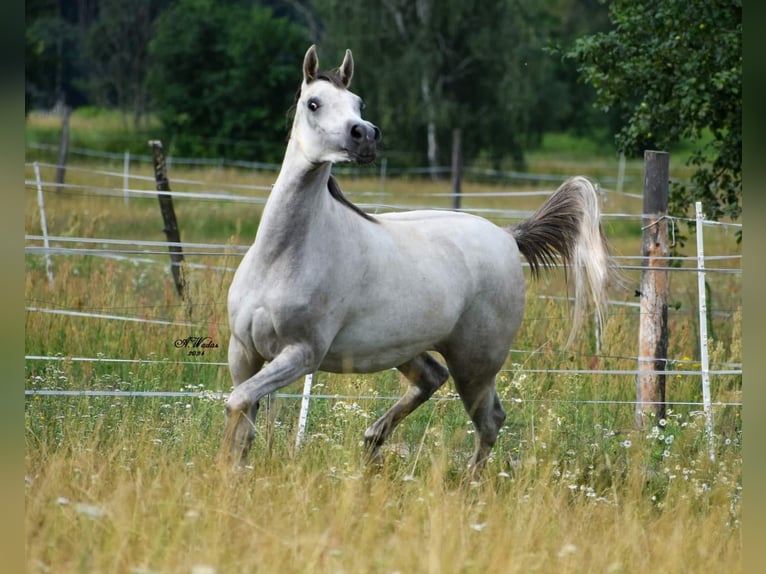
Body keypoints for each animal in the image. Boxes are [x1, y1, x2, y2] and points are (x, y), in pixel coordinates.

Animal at [222, 45, 616, 480]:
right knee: (432, 378)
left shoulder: (302, 353)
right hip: (408, 347)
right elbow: (244, 419)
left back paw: (468, 484)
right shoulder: (244, 351)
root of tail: (507, 237)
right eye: (314, 103)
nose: (365, 135)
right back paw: (372, 442)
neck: (284, 256)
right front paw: (232, 474)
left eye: (358, 102)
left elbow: (237, 403)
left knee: (490, 420)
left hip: (475, 364)